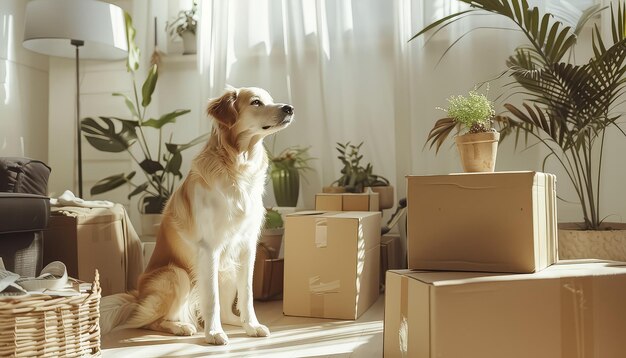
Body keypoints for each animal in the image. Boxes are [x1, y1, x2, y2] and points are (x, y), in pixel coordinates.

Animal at [98, 86, 294, 344]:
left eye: (270, 99)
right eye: (256, 102)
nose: (289, 108)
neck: (238, 166)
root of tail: (137, 295)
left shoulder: (247, 248)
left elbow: (247, 294)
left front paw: (251, 325)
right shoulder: (208, 248)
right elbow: (211, 298)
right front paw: (213, 333)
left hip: (227, 269)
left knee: (227, 310)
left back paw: (235, 323)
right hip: (176, 274)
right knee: (148, 321)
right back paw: (181, 326)